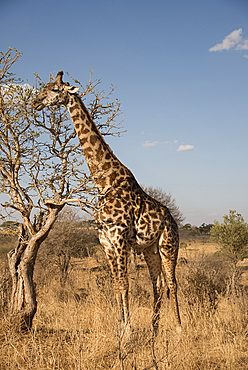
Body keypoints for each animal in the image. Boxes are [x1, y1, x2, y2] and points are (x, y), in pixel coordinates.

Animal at [33, 71, 181, 334]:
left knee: (172, 283)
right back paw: (154, 330)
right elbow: (115, 285)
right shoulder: (105, 240)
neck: (105, 182)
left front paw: (128, 332)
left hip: (168, 245)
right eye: (45, 87)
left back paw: (179, 328)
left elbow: (124, 285)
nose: (35, 102)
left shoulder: (119, 236)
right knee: (158, 283)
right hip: (149, 248)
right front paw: (121, 328)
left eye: (54, 89)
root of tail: (174, 221)